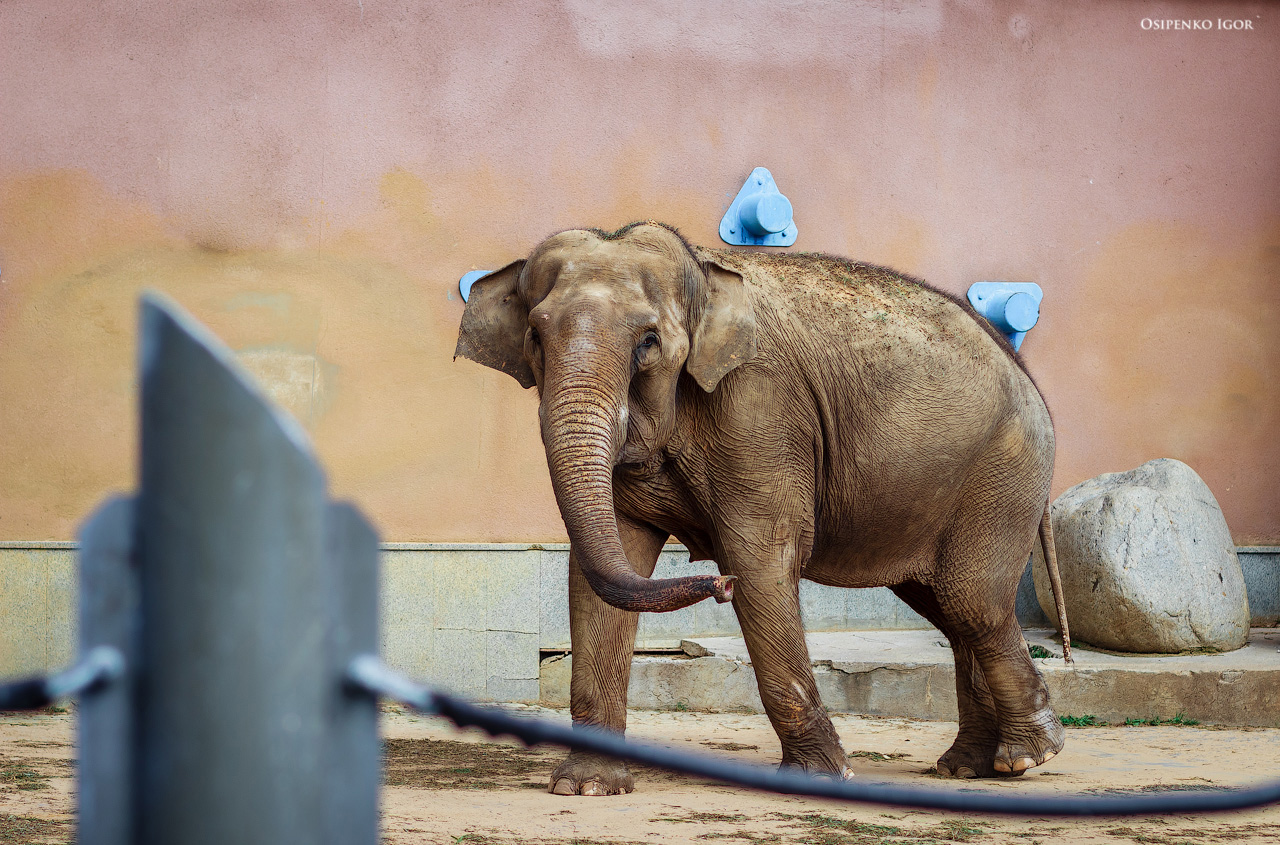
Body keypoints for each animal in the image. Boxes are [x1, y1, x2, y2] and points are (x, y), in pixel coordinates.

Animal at [455, 221, 1075, 793]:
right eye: (535, 338)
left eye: (647, 342)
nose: (716, 583)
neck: (701, 276)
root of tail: (1029, 377)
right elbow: (607, 570)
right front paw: (587, 785)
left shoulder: (759, 409)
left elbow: (759, 563)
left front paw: (819, 778)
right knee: (946, 607)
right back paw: (970, 765)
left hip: (1003, 472)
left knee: (971, 604)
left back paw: (1027, 755)